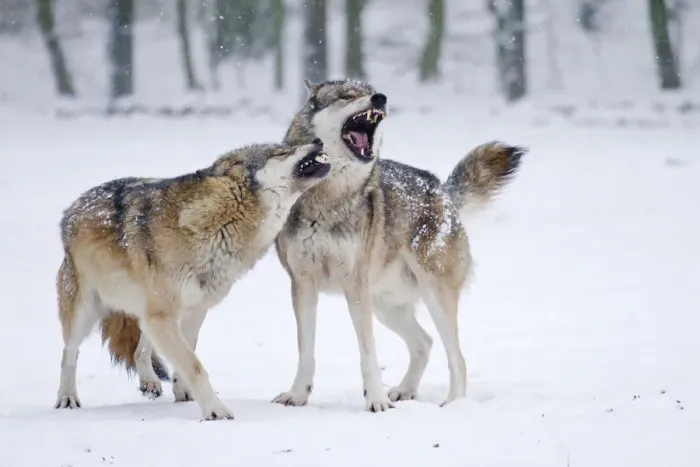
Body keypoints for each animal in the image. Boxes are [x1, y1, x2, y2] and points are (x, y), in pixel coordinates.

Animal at [54, 140, 331, 420]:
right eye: (281, 151)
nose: (318, 141)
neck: (218, 224)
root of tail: (72, 208)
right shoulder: (164, 314)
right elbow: (195, 365)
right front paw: (215, 410)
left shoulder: (194, 309)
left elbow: (187, 356)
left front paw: (183, 392)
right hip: (85, 312)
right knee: (69, 352)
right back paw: (67, 397)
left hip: (150, 312)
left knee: (140, 349)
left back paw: (149, 382)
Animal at [271, 79, 526, 412]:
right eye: (347, 96)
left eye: (370, 90)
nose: (381, 98)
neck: (328, 197)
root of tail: (442, 190)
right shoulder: (302, 285)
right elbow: (306, 352)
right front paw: (298, 395)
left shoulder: (356, 289)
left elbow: (368, 354)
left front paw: (375, 401)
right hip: (385, 306)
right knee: (424, 343)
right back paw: (405, 390)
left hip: (432, 297)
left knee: (457, 357)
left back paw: (453, 404)